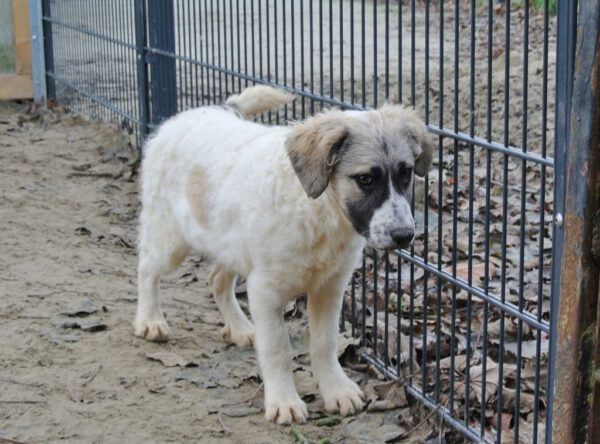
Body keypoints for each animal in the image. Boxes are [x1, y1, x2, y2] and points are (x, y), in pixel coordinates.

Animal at [134, 86, 432, 424]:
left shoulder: (329, 287)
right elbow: (278, 348)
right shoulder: (265, 290)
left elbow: (325, 342)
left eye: (406, 173)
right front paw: (284, 400)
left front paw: (335, 389)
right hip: (170, 239)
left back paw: (239, 327)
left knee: (217, 280)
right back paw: (150, 320)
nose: (405, 235)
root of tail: (181, 118)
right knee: (147, 267)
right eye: (366, 179)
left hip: (229, 242)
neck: (318, 211)